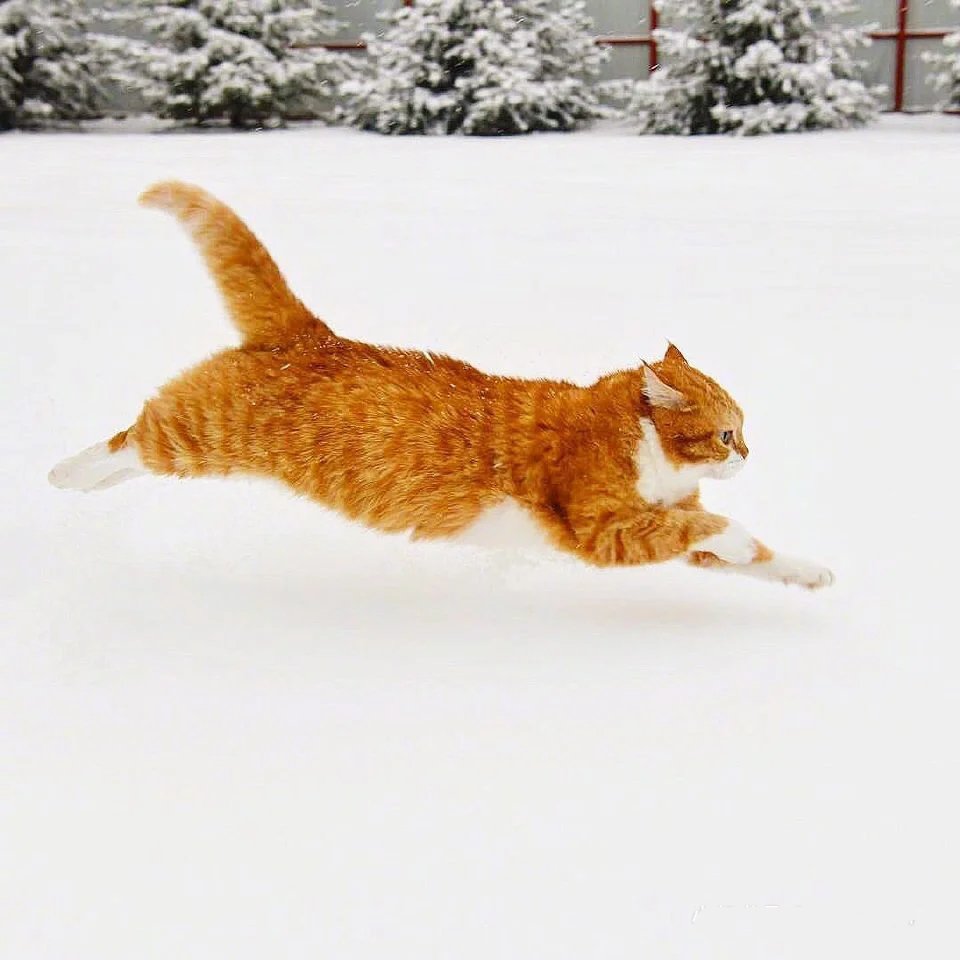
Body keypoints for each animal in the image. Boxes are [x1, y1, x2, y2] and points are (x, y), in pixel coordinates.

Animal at [50, 178, 832, 584]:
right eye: (727, 433)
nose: (748, 453)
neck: (645, 452)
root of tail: (312, 333)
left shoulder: (659, 534)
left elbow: (748, 552)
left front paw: (806, 571)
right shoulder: (604, 531)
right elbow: (715, 525)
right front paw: (741, 531)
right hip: (201, 429)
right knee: (131, 437)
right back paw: (65, 474)